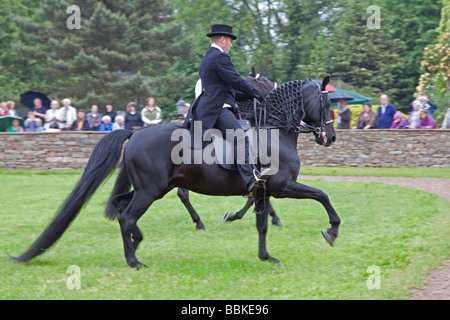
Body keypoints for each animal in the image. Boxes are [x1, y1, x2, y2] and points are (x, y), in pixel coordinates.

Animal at [12, 77, 340, 268]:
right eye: (325, 102)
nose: (330, 137)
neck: (274, 130)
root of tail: (135, 132)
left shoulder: (263, 190)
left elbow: (261, 224)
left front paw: (265, 256)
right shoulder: (283, 187)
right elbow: (323, 195)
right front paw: (332, 231)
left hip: (153, 189)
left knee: (121, 207)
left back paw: (137, 241)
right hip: (150, 191)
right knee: (127, 216)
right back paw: (135, 259)